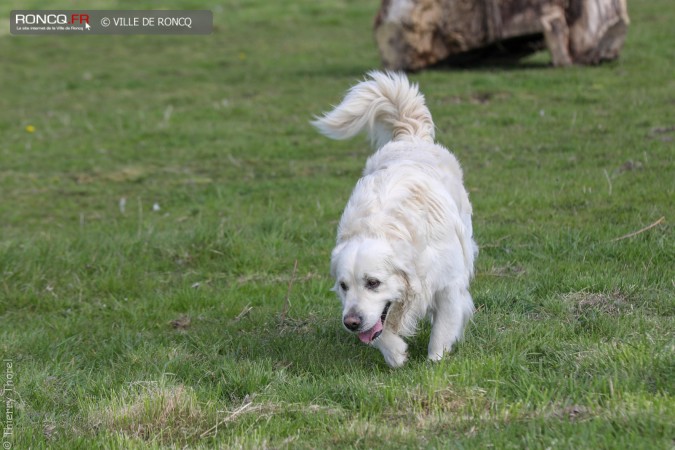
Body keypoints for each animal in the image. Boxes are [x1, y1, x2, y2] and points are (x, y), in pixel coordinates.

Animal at [314, 70, 478, 366]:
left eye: (373, 282)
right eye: (343, 286)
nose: (350, 323)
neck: (381, 226)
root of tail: (410, 136)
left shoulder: (448, 283)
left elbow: (443, 325)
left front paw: (435, 361)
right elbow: (378, 331)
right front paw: (395, 353)